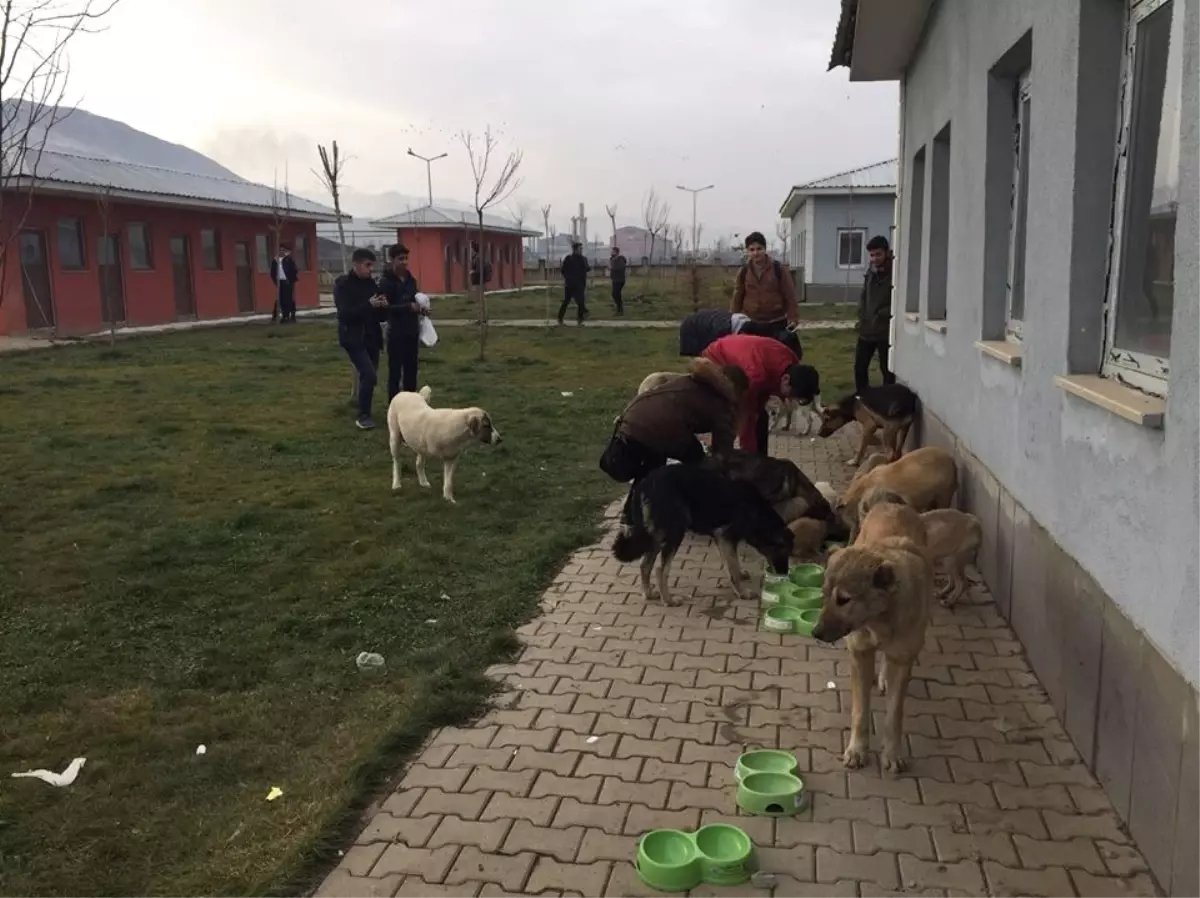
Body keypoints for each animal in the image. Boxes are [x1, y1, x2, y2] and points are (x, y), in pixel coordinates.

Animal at [609, 465, 796, 607]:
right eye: (783, 553)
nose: (784, 574)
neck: (758, 513)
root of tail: (645, 484)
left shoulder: (721, 539)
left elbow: (731, 563)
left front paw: (739, 575)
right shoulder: (725, 536)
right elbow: (733, 568)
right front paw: (742, 592)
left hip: (658, 535)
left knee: (644, 565)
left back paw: (648, 593)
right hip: (675, 533)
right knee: (660, 569)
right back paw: (668, 600)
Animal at [811, 487, 931, 773]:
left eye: (844, 599)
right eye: (824, 595)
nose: (815, 632)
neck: (879, 620)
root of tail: (890, 502)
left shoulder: (903, 657)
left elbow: (894, 714)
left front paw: (892, 753)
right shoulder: (860, 653)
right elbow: (860, 710)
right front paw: (857, 749)